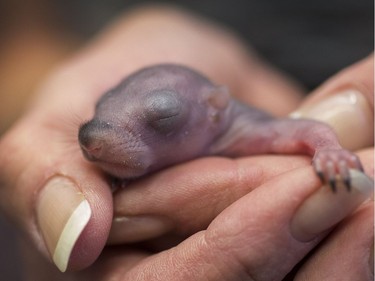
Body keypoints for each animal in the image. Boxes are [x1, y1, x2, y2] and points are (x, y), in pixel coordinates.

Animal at [78, 63, 364, 190]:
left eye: (166, 116)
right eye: (99, 102)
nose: (90, 138)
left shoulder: (245, 129)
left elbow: (305, 128)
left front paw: (332, 156)